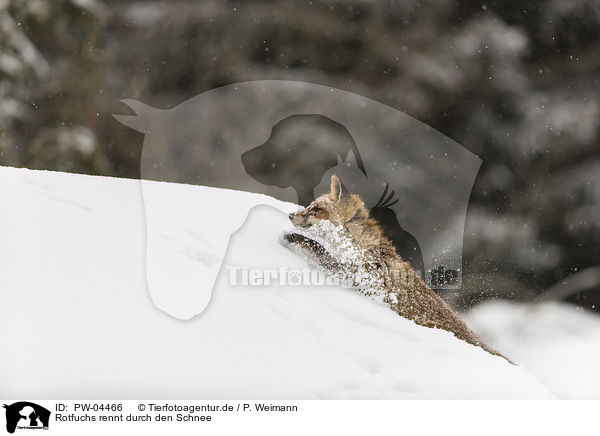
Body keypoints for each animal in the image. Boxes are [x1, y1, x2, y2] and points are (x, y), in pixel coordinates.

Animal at [284, 174, 508, 362]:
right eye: (310, 205)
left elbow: (319, 249)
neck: (359, 247)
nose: (290, 215)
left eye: (316, 209)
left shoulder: (361, 277)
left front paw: (295, 239)